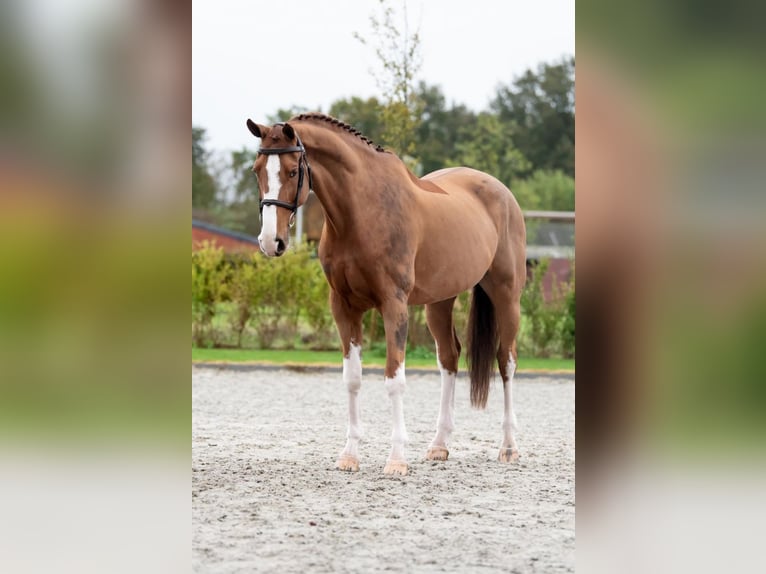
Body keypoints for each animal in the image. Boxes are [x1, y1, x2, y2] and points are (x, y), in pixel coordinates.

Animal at [249, 113, 524, 476]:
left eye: (293, 171)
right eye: (257, 170)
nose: (271, 241)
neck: (361, 212)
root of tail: (501, 191)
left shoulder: (394, 305)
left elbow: (394, 378)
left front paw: (396, 459)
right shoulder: (343, 307)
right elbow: (352, 379)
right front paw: (350, 455)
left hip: (506, 295)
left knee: (506, 361)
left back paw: (509, 446)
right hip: (439, 302)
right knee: (449, 358)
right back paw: (439, 445)